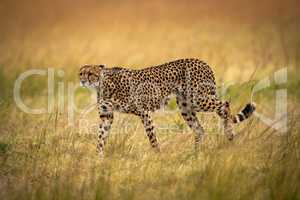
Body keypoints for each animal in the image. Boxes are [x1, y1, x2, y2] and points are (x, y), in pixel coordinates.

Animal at [79, 58, 255, 157]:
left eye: (91, 73)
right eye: (81, 73)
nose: (82, 81)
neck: (102, 85)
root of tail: (202, 61)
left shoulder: (144, 112)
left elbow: (152, 138)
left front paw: (158, 156)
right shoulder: (106, 115)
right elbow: (101, 137)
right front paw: (98, 158)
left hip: (198, 99)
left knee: (224, 105)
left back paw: (229, 134)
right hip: (185, 106)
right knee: (199, 129)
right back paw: (195, 154)